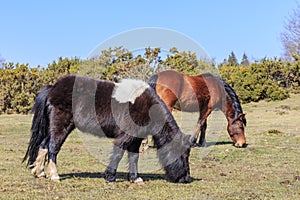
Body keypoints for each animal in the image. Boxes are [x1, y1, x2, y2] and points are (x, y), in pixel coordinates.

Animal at [22, 74, 193, 183]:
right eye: (183, 155)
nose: (185, 179)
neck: (147, 106)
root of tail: (53, 88)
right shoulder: (125, 137)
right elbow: (118, 154)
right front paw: (110, 177)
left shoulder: (136, 139)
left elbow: (134, 157)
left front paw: (135, 178)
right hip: (61, 126)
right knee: (53, 147)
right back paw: (54, 176)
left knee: (44, 144)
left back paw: (40, 172)